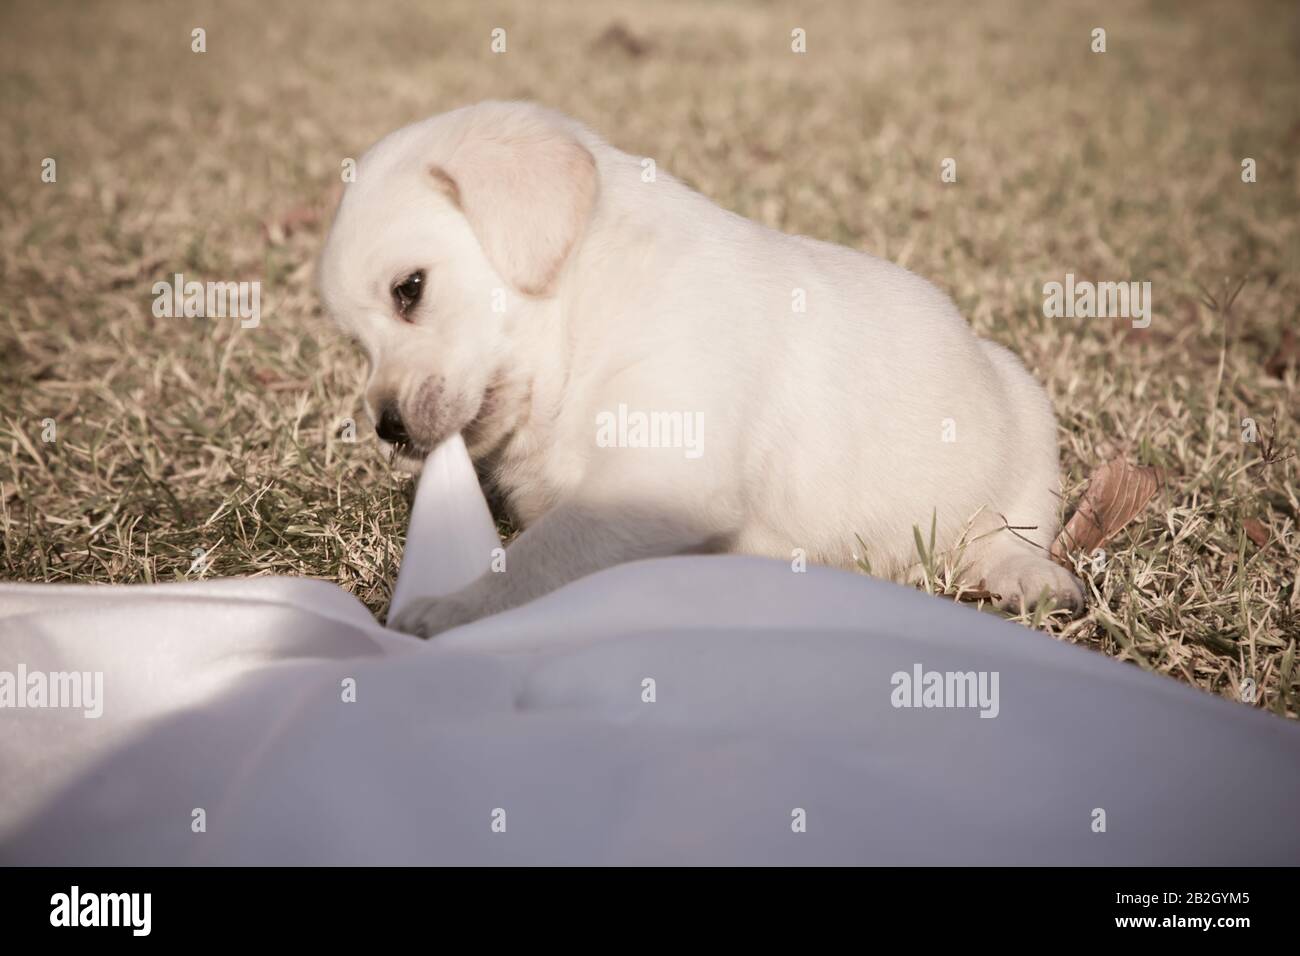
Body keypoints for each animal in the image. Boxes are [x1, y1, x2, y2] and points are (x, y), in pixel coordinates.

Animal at [319, 100, 1081, 634]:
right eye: (356, 341)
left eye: (410, 289)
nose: (387, 427)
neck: (586, 312)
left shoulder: (665, 470)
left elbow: (540, 554)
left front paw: (451, 607)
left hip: (1031, 429)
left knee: (1009, 534)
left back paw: (1030, 577)